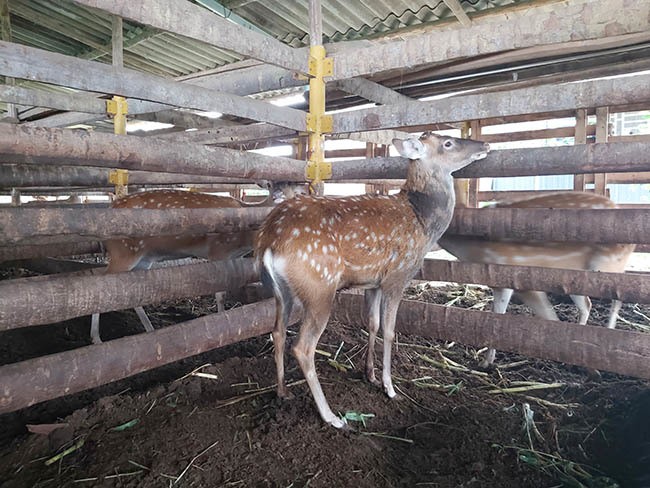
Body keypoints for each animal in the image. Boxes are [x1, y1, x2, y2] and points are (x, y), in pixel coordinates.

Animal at [88, 185, 306, 346]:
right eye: (275, 196)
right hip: (123, 251)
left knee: (130, 293)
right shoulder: (218, 251)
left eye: (300, 193)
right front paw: (223, 322)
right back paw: (96, 338)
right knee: (102, 284)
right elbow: (219, 293)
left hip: (143, 259)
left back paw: (150, 329)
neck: (243, 241)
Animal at [253, 132, 486, 428]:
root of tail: (269, 242)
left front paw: (370, 375)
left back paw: (283, 392)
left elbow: (372, 323)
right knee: (303, 347)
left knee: (278, 332)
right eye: (448, 142)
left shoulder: (373, 283)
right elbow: (389, 330)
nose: (485, 145)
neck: (423, 222)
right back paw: (332, 416)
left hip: (280, 291)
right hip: (319, 287)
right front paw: (390, 387)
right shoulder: (398, 277)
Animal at [438, 191, 636, 366]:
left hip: (608, 265)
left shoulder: (511, 271)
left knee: (618, 296)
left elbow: (535, 315)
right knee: (587, 304)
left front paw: (486, 362)